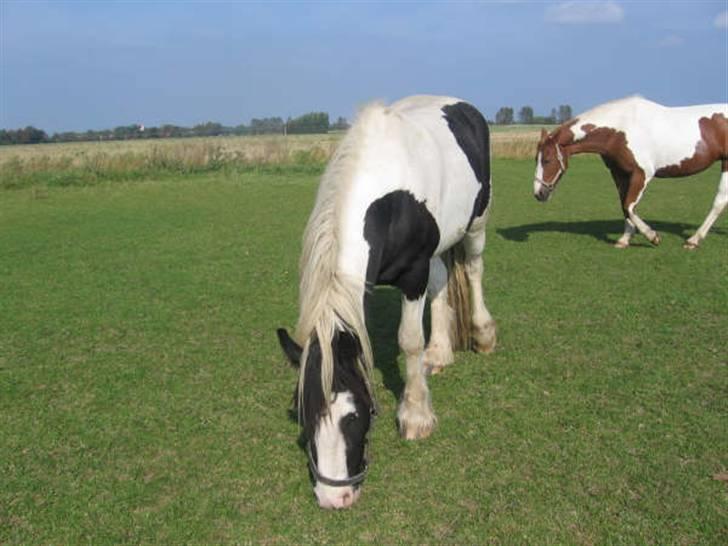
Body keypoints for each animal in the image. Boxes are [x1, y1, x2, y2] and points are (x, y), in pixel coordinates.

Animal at [278, 95, 494, 508]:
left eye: (353, 415)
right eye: (304, 414)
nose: (334, 498)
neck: (385, 195)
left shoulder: (413, 275)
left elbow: (408, 341)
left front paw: (415, 416)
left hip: (476, 223)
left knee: (474, 269)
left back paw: (483, 334)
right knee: (441, 282)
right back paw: (439, 352)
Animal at [532, 96, 724, 248]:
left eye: (547, 160)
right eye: (536, 159)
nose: (538, 193)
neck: (620, 130)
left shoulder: (642, 174)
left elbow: (629, 206)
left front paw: (652, 236)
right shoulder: (620, 174)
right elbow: (624, 206)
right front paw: (624, 240)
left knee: (719, 201)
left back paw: (694, 240)